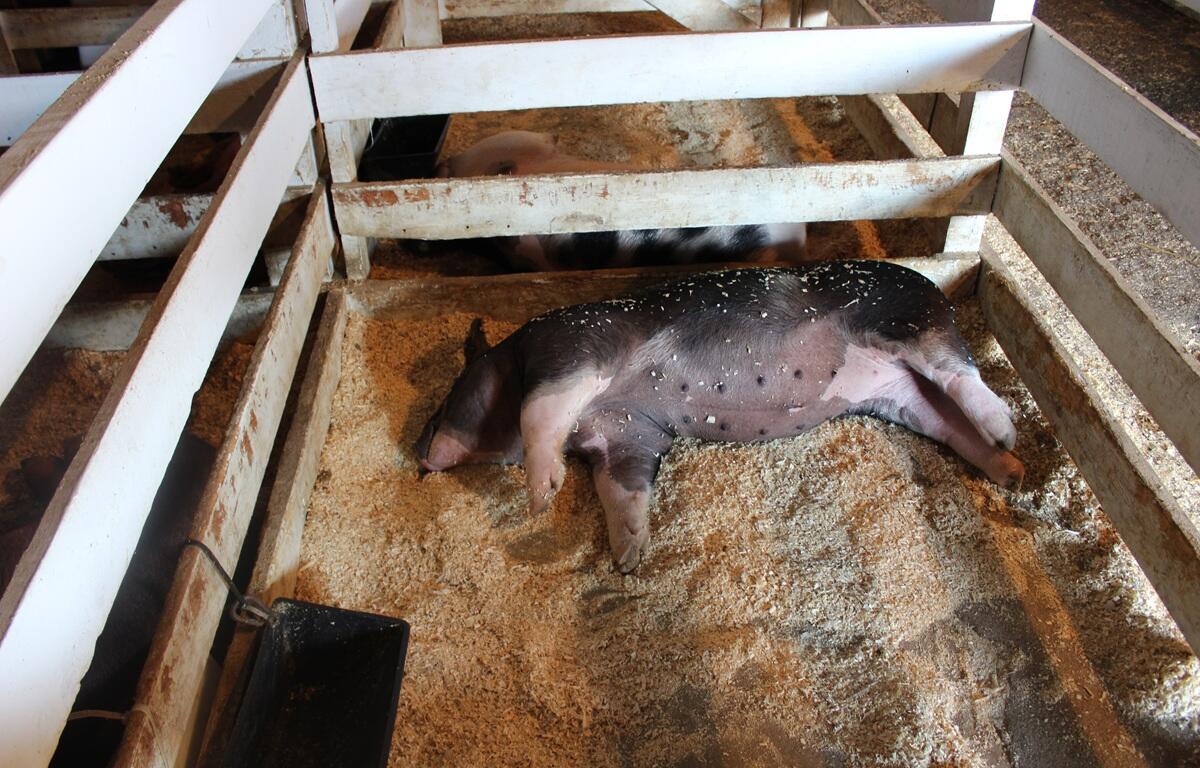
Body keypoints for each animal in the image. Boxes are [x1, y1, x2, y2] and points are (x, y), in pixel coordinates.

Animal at [415, 260, 1023, 574]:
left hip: (905, 320)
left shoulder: (571, 351)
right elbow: (623, 490)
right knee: (951, 420)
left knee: (960, 376)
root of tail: (938, 290)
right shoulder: (630, 435)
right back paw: (1012, 470)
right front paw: (629, 558)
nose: (419, 458)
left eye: (444, 403)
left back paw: (1007, 430)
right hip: (905, 398)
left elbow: (539, 415)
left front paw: (541, 496)